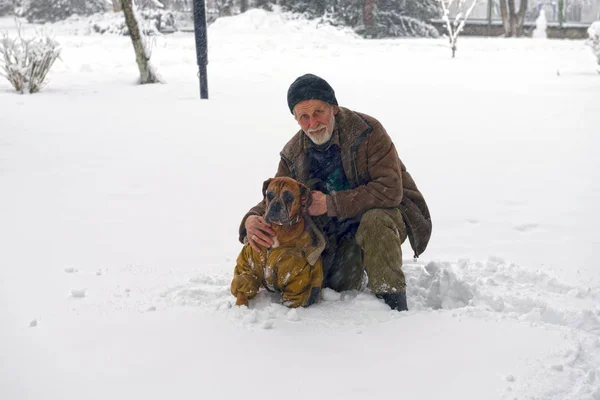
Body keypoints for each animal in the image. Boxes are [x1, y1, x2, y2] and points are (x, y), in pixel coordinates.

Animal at [231, 177, 324, 308]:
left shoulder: (297, 276)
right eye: (269, 194)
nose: (275, 205)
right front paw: (241, 306)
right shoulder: (249, 264)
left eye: (288, 197)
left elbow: (290, 300)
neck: (278, 228)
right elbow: (244, 283)